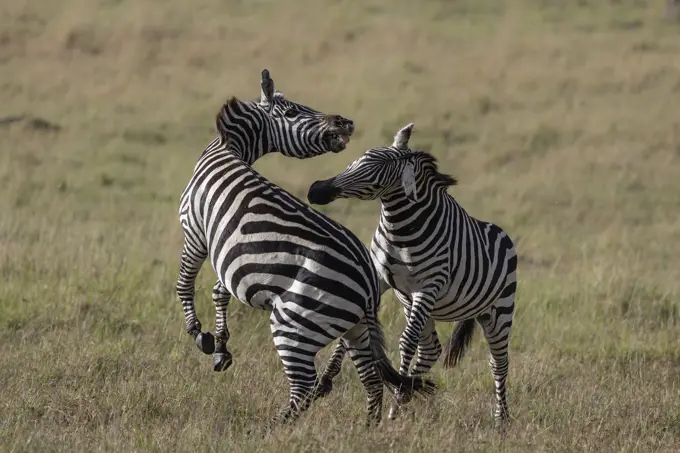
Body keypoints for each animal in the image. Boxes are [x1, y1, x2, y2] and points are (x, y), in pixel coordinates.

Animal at [177, 71, 436, 424]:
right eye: (292, 111)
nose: (346, 122)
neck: (227, 149)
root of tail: (369, 282)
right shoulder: (230, 255)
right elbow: (219, 291)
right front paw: (220, 348)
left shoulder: (194, 231)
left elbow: (184, 284)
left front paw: (199, 335)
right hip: (354, 327)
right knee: (371, 379)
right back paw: (367, 428)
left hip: (294, 323)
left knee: (304, 385)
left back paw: (272, 427)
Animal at [306, 121, 516, 424]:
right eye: (358, 158)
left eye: (377, 171)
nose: (316, 191)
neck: (401, 228)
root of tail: (502, 233)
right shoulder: (379, 278)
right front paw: (324, 383)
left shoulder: (428, 286)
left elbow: (406, 343)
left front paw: (397, 397)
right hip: (422, 306)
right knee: (431, 349)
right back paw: (405, 397)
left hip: (498, 312)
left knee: (498, 363)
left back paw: (501, 418)